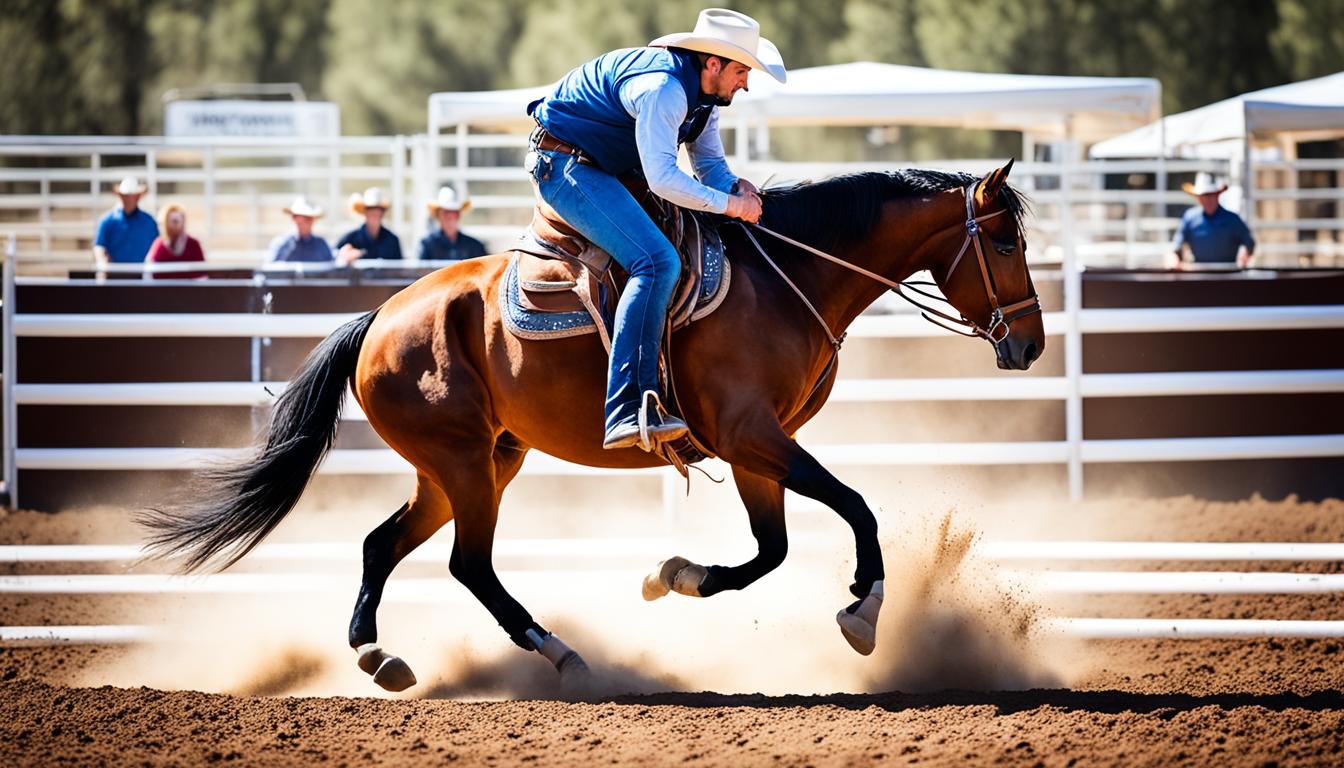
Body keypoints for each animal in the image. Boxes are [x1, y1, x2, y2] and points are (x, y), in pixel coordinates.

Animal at [144, 160, 1037, 688]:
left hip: (471, 463)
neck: (787, 276)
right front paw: (863, 612)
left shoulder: (757, 447)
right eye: (1003, 241)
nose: (1028, 343)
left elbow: (770, 551)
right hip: (464, 466)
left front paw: (673, 574)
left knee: (381, 544)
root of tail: (381, 318)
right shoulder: (754, 434)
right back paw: (556, 649)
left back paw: (377, 654)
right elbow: (854, 507)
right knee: (469, 564)